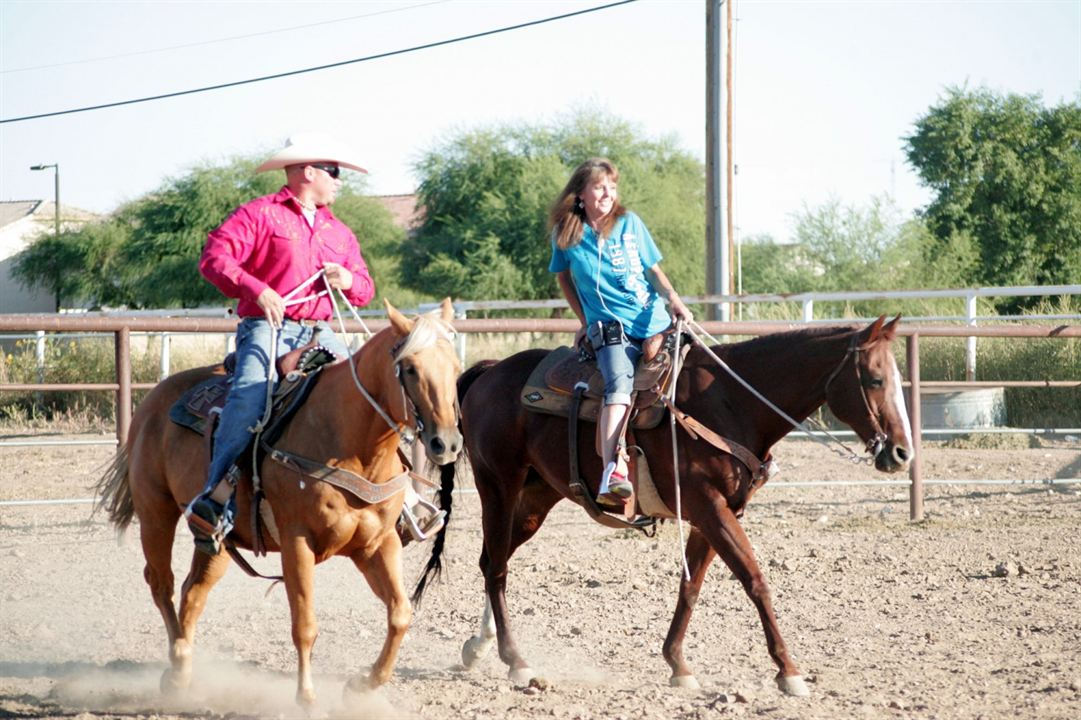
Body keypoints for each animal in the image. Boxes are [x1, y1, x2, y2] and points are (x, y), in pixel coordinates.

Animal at [94, 296, 460, 704]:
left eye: (456, 367)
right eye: (410, 369)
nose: (446, 443)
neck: (351, 442)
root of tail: (152, 401)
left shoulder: (377, 543)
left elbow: (400, 613)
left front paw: (361, 685)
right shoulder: (296, 542)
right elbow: (305, 625)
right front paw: (307, 700)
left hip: (218, 540)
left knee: (193, 590)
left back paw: (183, 668)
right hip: (155, 513)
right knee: (163, 584)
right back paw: (175, 671)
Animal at [412, 315, 912, 696]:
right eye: (874, 379)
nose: (901, 452)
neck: (731, 403)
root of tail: (489, 371)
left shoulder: (715, 514)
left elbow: (690, 587)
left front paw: (677, 664)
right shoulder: (711, 508)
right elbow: (755, 579)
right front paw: (788, 671)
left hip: (537, 497)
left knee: (490, 560)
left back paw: (479, 647)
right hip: (499, 484)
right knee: (496, 566)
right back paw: (516, 660)